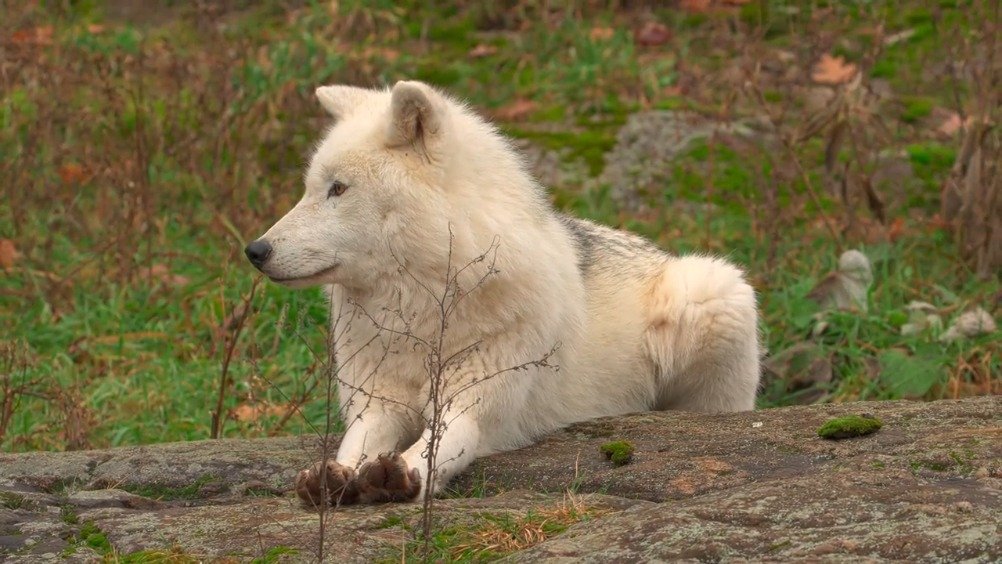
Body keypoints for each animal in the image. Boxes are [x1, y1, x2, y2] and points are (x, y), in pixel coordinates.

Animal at [244, 80, 757, 506]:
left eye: (338, 189)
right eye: (310, 188)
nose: (255, 250)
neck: (418, 309)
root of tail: (659, 252)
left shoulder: (475, 406)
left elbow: (437, 445)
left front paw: (397, 474)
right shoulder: (377, 404)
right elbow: (354, 445)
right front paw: (333, 476)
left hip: (709, 292)